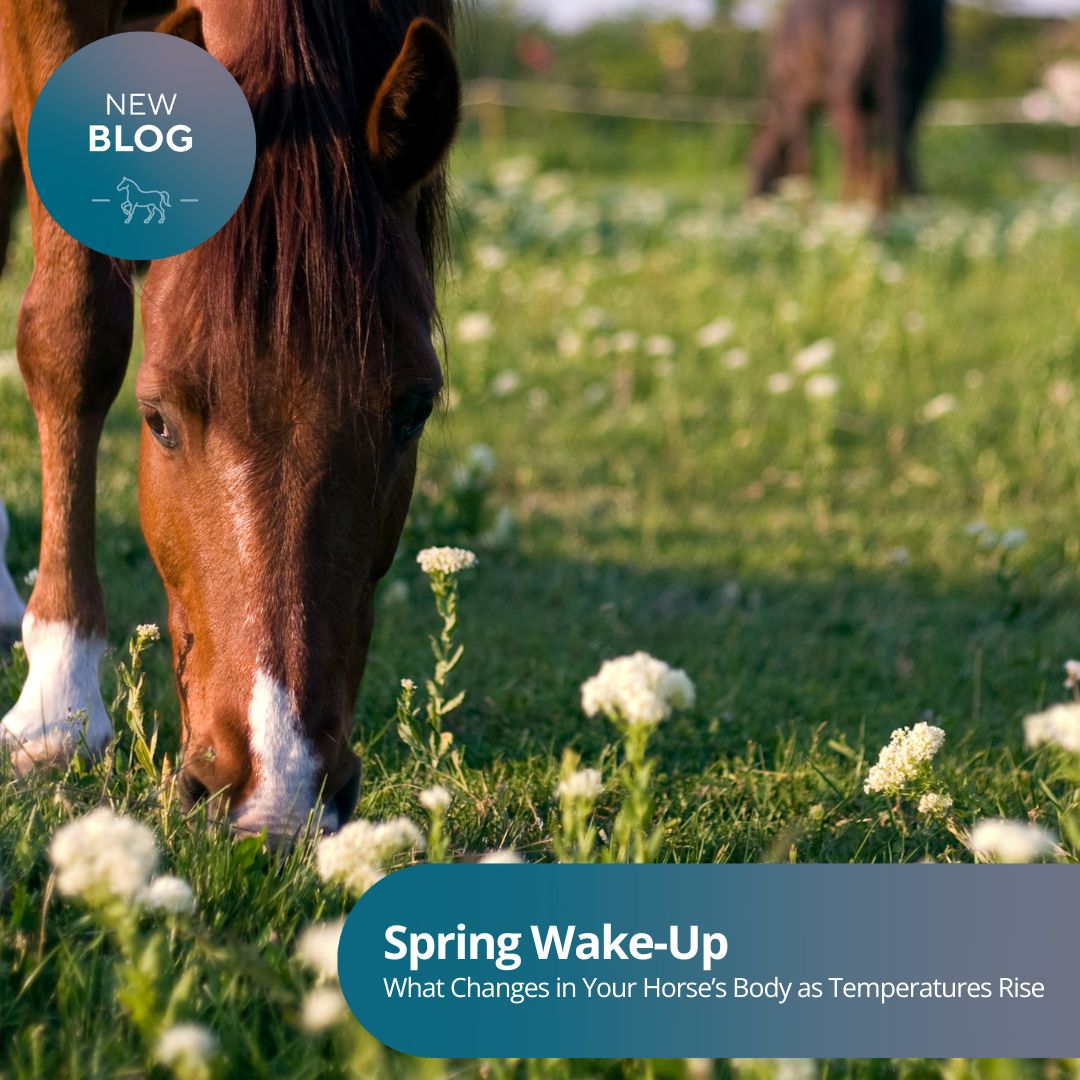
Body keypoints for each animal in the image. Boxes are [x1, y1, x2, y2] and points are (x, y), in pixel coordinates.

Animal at [749, 0, 947, 206]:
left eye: (753, 164)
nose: (751, 205)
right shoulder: (871, 106)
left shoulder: (795, 101)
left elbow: (803, 158)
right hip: (914, 87)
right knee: (899, 149)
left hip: (845, 92)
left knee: (855, 152)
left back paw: (854, 203)